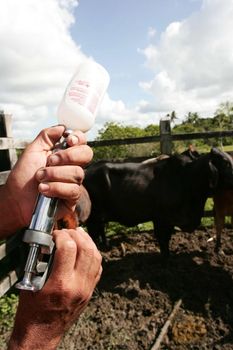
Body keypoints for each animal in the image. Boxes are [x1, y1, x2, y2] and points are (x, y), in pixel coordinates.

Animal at [84, 148, 233, 258]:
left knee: (101, 230)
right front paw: (165, 259)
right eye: (226, 163)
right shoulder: (162, 219)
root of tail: (87, 170)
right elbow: (163, 239)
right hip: (93, 217)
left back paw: (106, 246)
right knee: (93, 236)